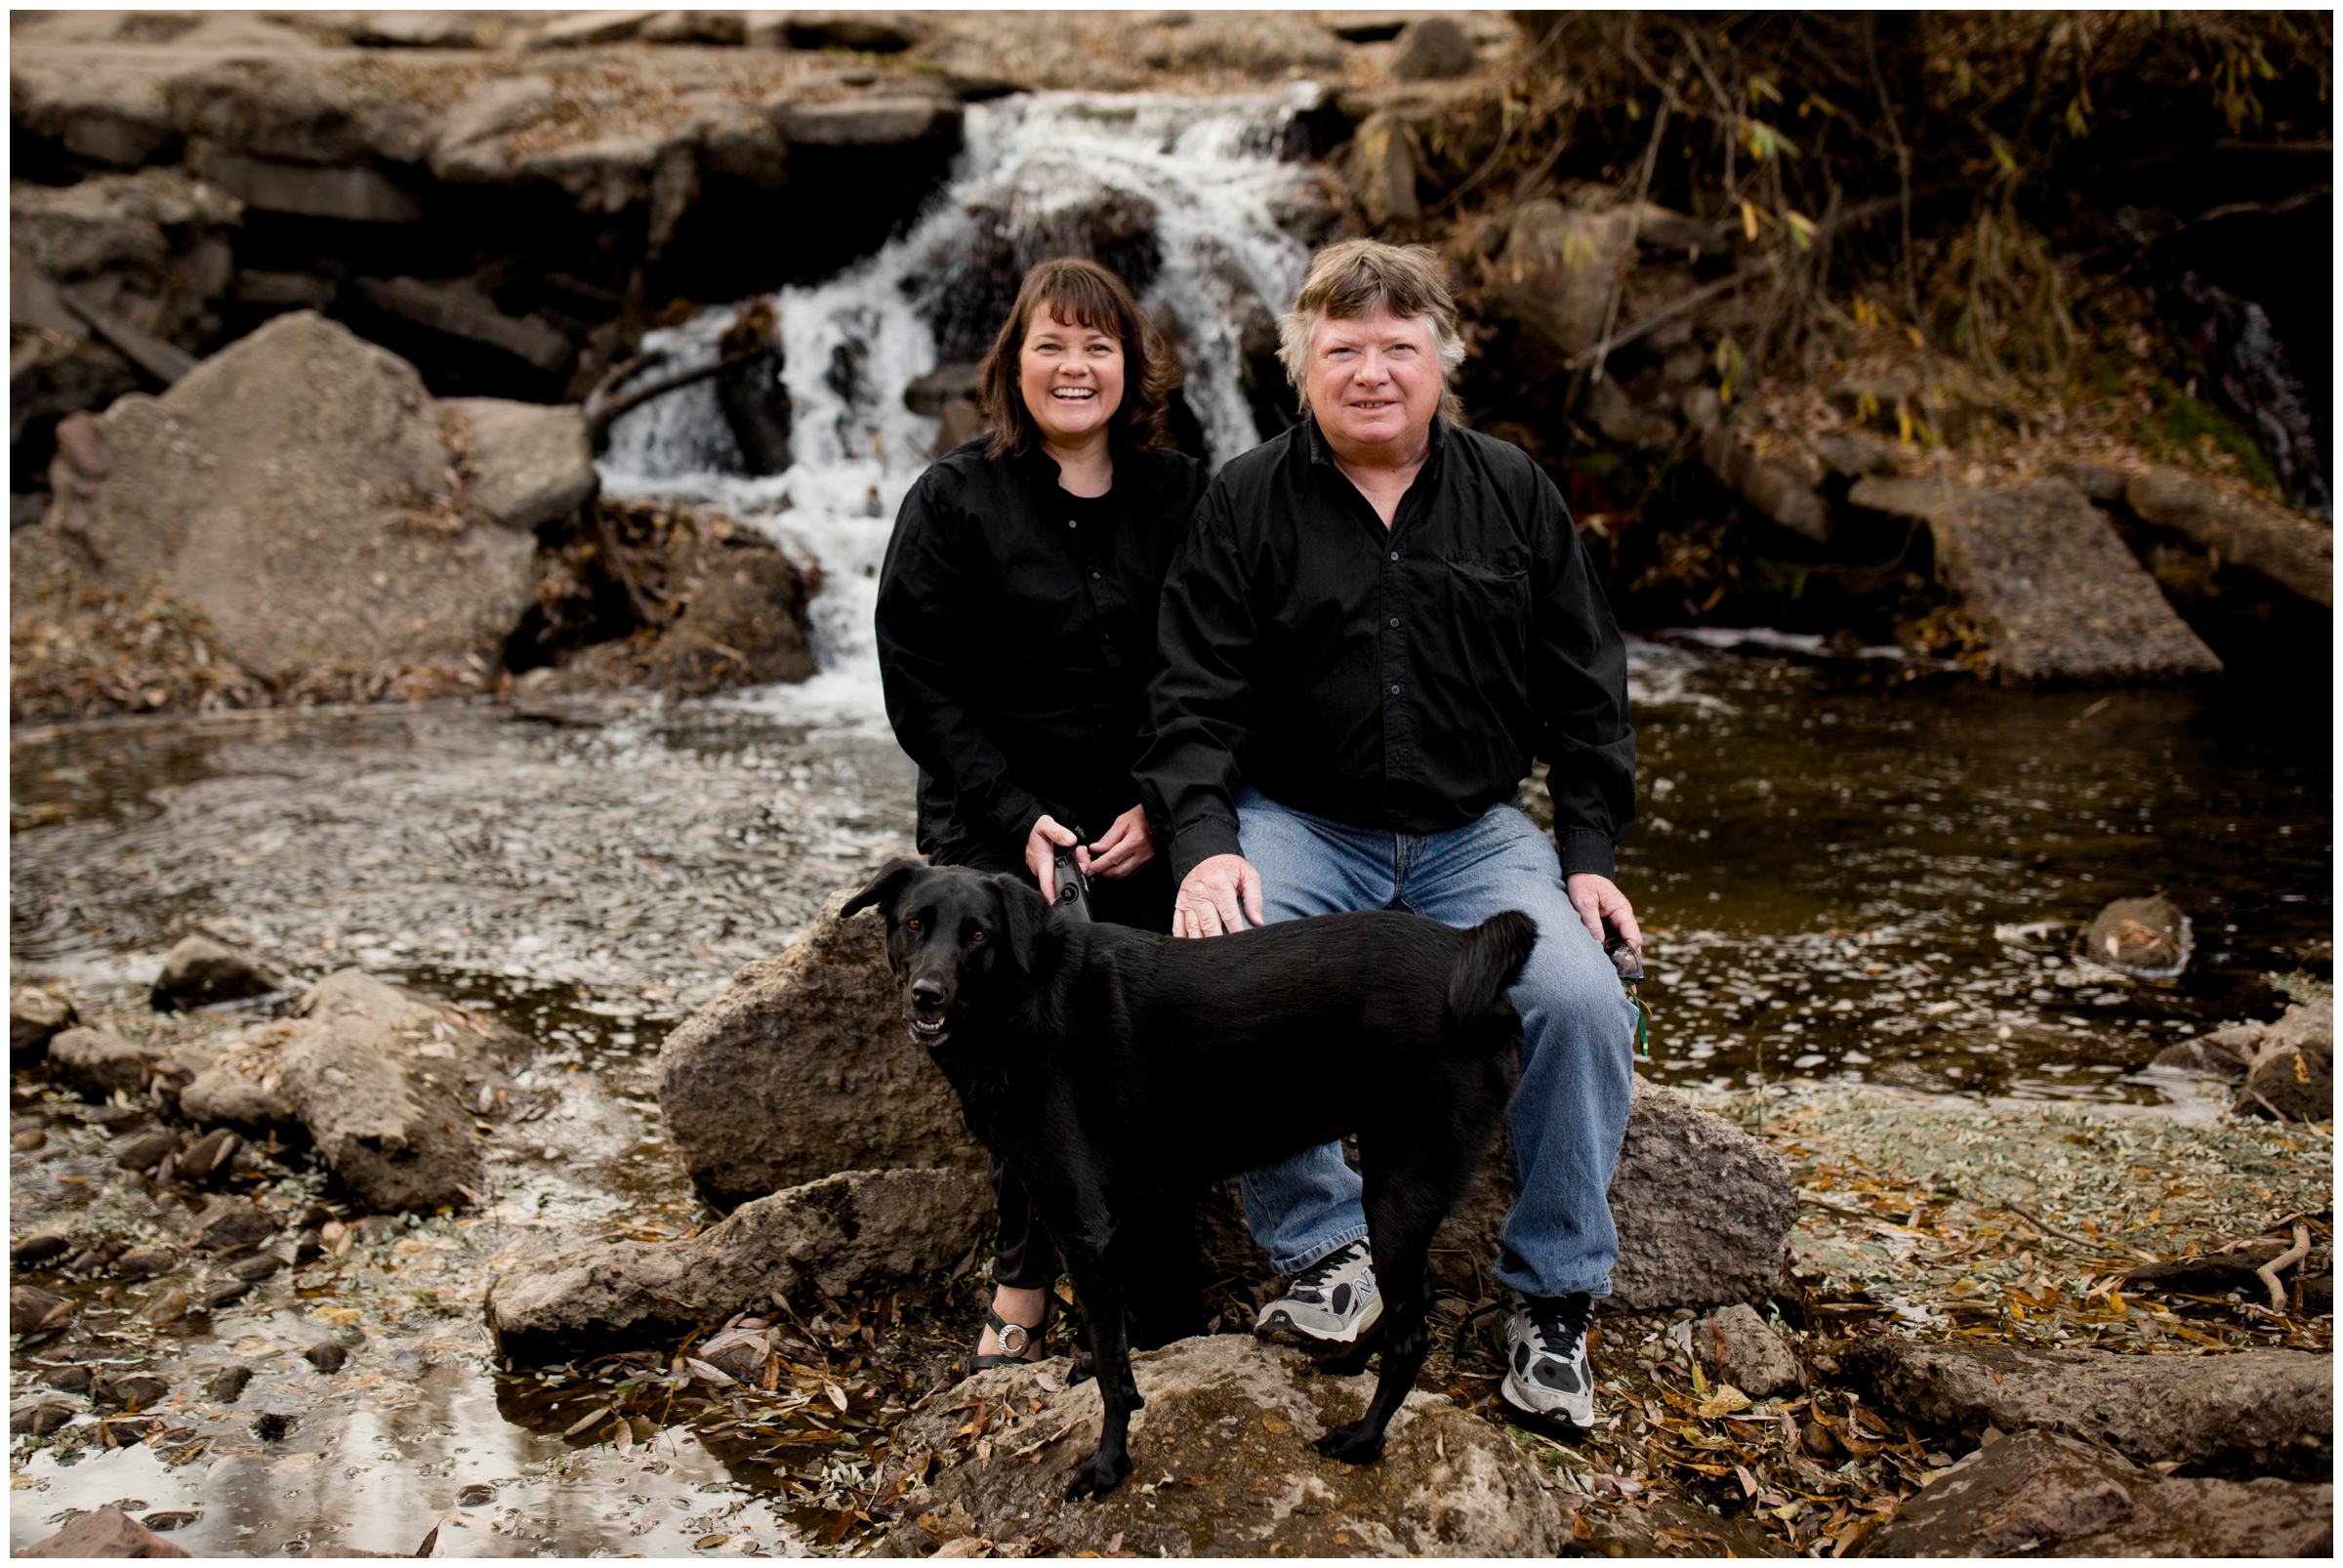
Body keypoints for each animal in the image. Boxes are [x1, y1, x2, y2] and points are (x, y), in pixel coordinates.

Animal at [843, 862, 1537, 1500]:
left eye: (980, 934)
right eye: (914, 924)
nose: (927, 994)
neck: (1022, 1001)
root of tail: (1469, 956)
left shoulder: (1082, 1224)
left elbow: (1113, 1367)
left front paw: (1109, 1463)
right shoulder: (1113, 1219)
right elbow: (1116, 1336)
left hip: (1398, 1189)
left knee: (1413, 1333)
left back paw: (1364, 1440)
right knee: (1410, 1302)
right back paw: (1344, 1360)